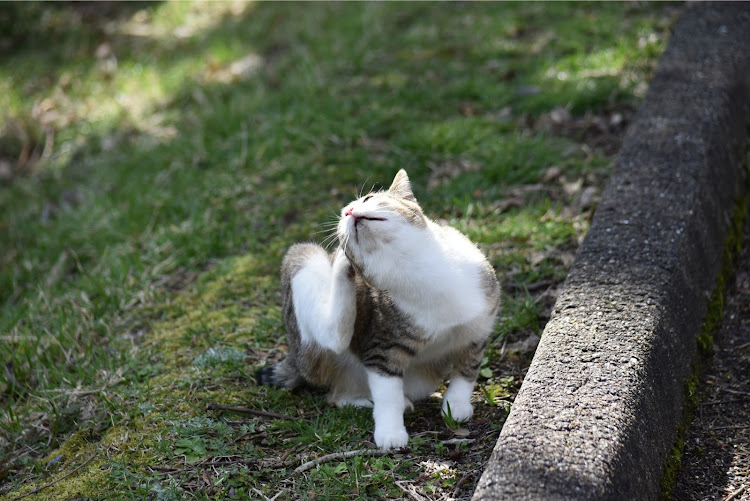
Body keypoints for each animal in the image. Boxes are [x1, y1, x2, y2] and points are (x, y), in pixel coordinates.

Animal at [256, 169, 502, 450]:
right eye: (343, 216)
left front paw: (456, 405)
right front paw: (390, 432)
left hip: (420, 380)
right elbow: (387, 394)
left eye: (369, 198)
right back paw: (339, 263)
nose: (349, 211)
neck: (417, 271)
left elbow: (467, 370)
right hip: (304, 273)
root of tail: (295, 359)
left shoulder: (478, 330)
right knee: (333, 341)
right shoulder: (383, 347)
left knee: (339, 395)